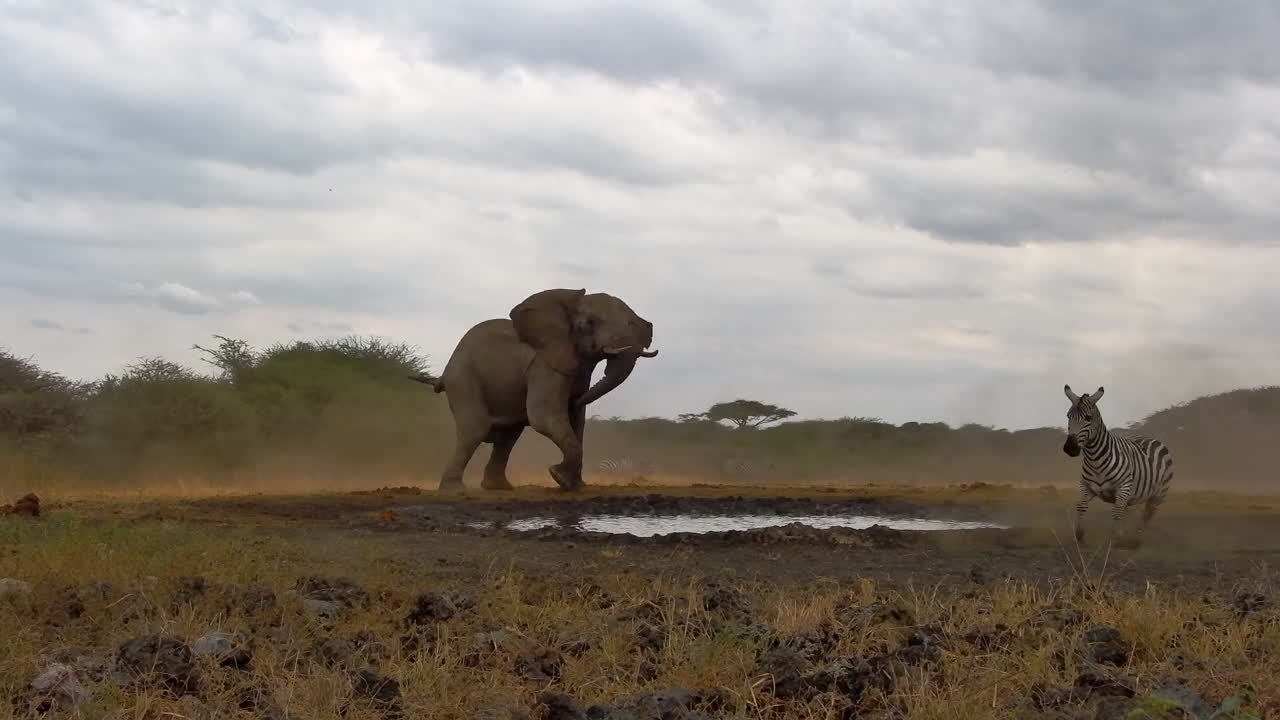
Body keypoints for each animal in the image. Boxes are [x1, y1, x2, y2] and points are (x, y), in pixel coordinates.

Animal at [417, 288, 658, 492]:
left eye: (632, 323)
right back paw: (455, 490)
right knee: (476, 429)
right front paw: (558, 477)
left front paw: (574, 485)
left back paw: (499, 488)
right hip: (463, 379)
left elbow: (577, 421)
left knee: (509, 436)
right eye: (589, 323)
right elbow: (544, 417)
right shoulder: (543, 366)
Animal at [1062, 384, 1174, 548]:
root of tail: (1153, 439)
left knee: (1147, 514)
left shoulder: (1123, 488)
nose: (1070, 448)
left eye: (1088, 418)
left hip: (1159, 493)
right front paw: (1080, 537)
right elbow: (1081, 506)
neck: (1095, 460)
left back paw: (1137, 539)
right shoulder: (1086, 486)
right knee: (1128, 512)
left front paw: (1113, 540)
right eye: (1068, 416)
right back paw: (1127, 536)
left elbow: (1116, 513)